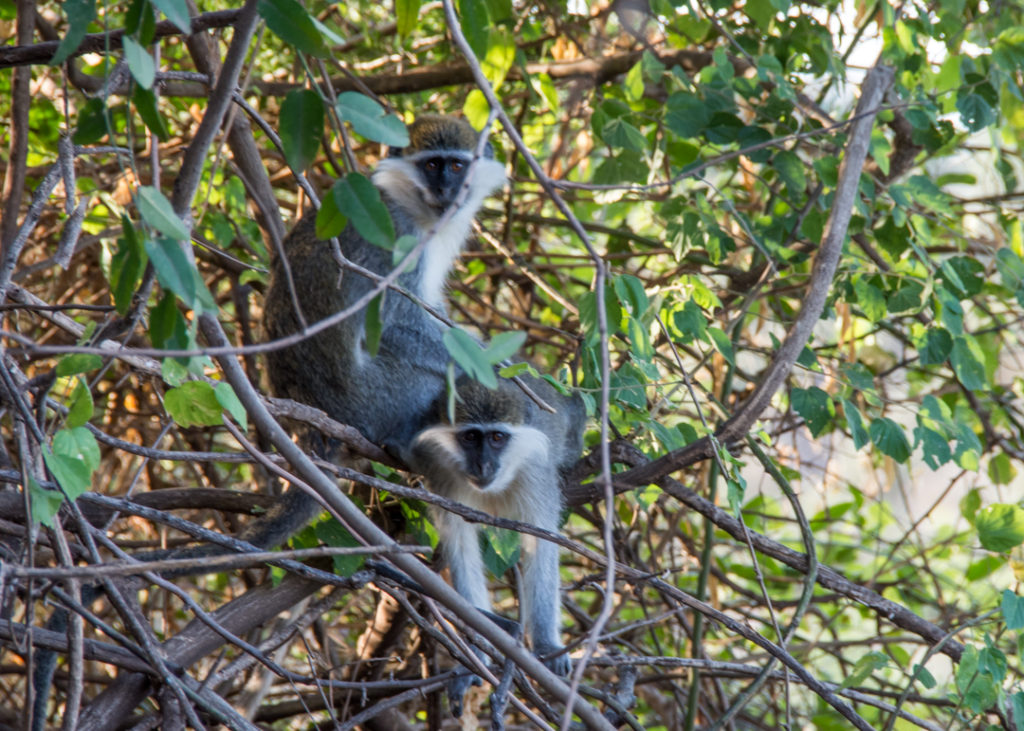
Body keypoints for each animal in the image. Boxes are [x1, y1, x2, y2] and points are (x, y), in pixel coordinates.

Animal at [407, 372, 585, 675]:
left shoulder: (536, 473)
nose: (483, 466)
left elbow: (542, 545)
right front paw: (479, 647)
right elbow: (461, 545)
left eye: (497, 437)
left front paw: (546, 646)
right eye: (470, 437)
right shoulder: (442, 473)